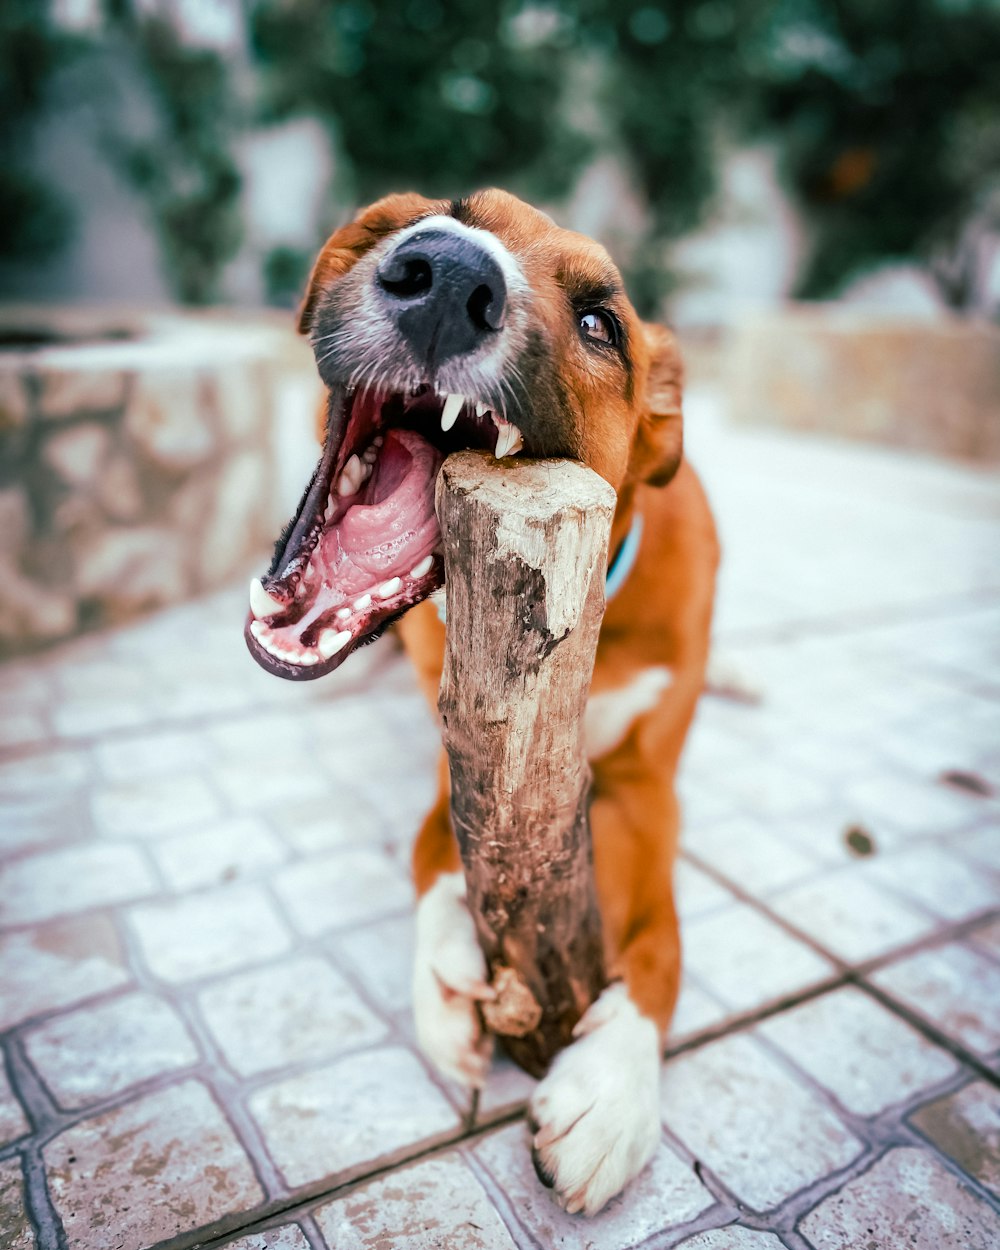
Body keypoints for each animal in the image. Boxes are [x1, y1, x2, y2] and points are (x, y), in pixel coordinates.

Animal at [246, 190, 725, 1215]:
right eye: (453, 213)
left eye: (601, 323)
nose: (445, 276)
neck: (590, 607)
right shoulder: (466, 745)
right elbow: (434, 850)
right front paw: (441, 977)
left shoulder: (649, 789)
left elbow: (662, 937)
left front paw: (617, 1083)